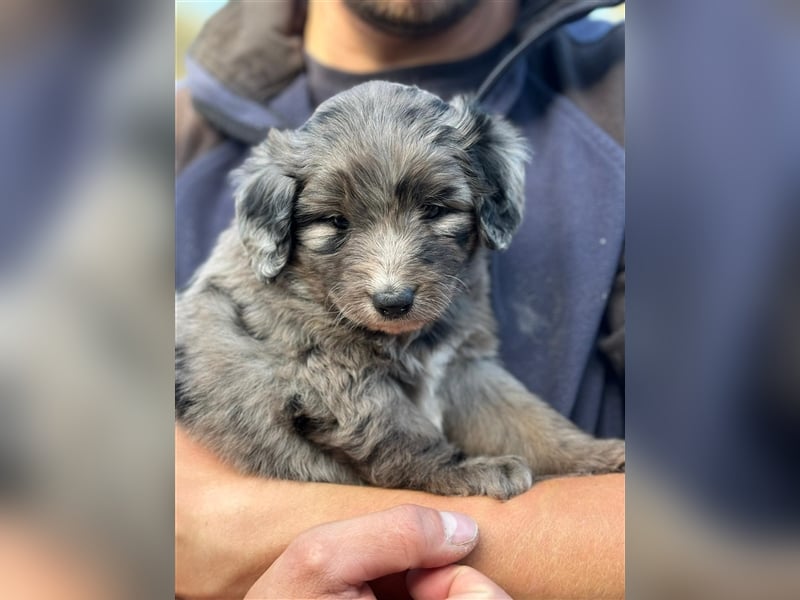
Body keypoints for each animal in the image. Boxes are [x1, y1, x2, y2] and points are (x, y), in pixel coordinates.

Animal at [177, 81, 624, 502]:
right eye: (335, 222)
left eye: (435, 210)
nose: (392, 302)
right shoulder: (333, 378)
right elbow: (401, 432)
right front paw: (466, 471)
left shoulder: (463, 366)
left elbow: (524, 419)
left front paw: (593, 454)